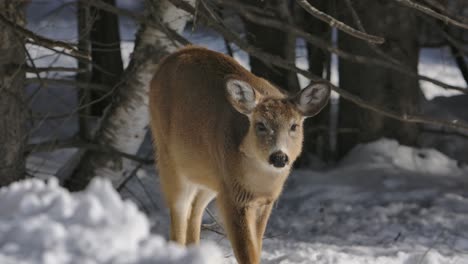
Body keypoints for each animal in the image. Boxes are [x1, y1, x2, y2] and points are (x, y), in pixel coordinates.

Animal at [149, 46, 330, 262]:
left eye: (294, 126)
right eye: (260, 125)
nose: (279, 157)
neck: (259, 182)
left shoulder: (263, 201)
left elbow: (257, 248)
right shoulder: (234, 197)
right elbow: (246, 253)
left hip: (210, 177)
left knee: (195, 210)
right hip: (169, 158)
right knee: (179, 214)